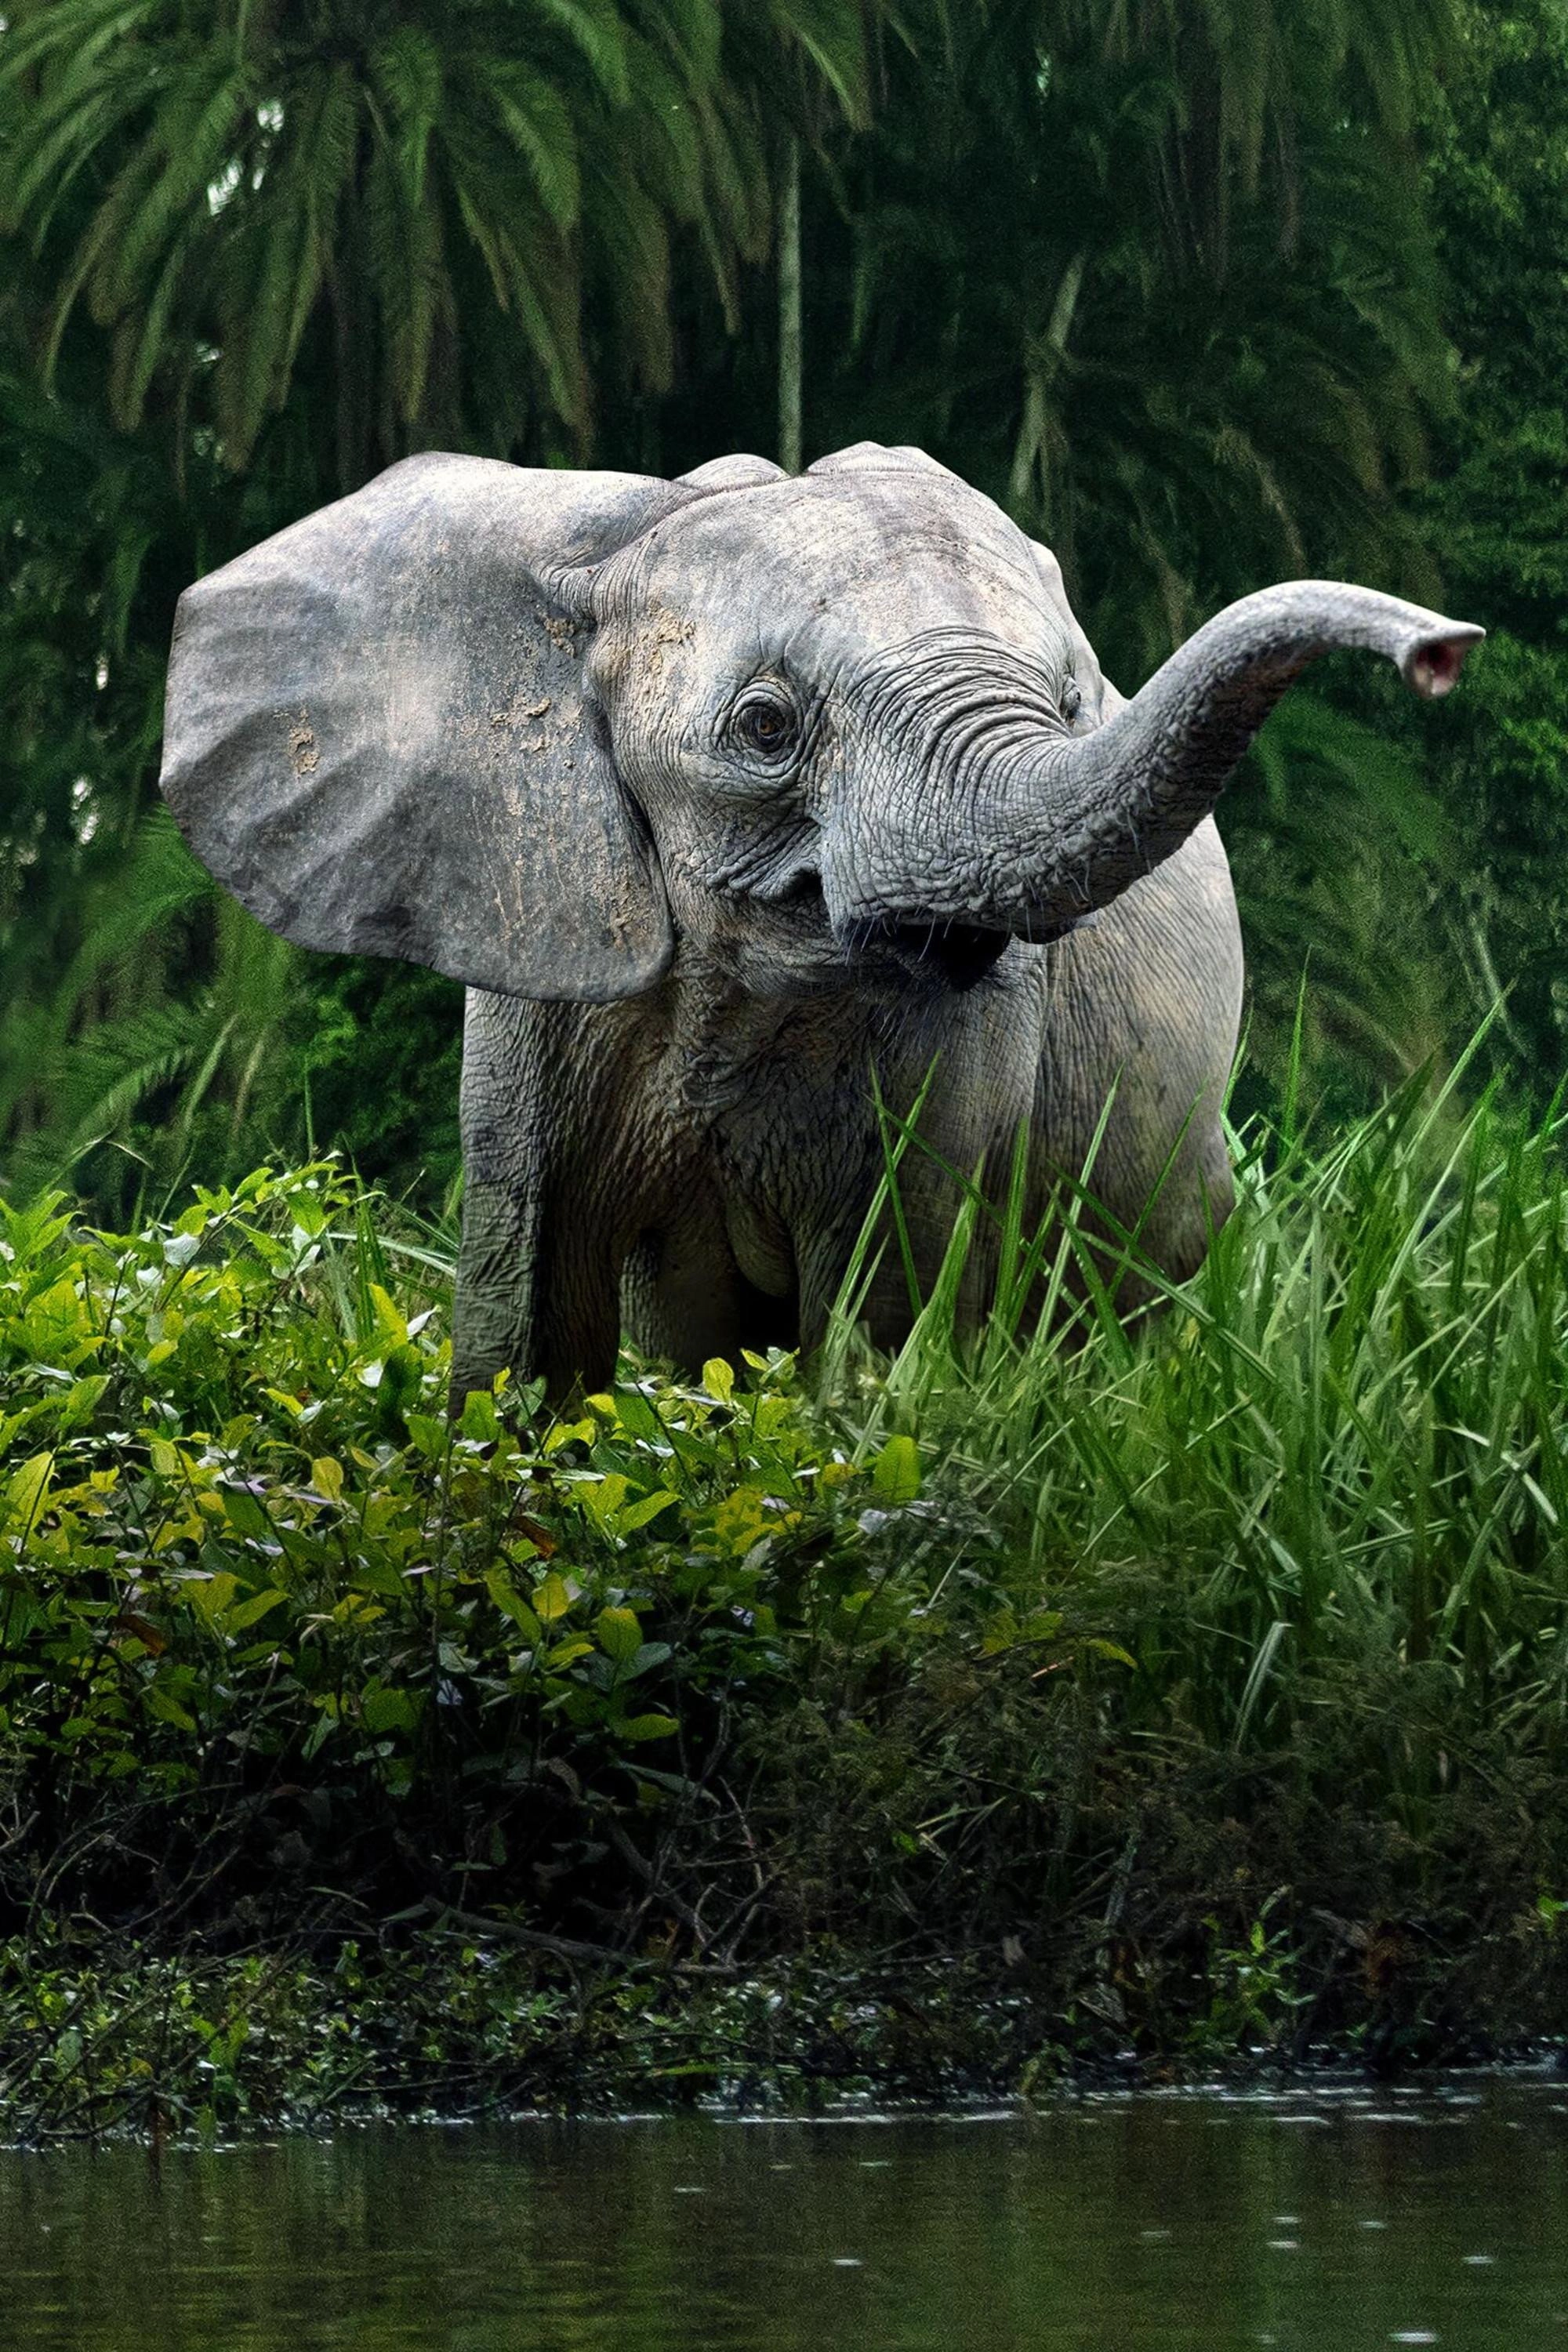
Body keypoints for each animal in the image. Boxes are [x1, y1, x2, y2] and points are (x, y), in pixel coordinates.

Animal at [158, 442, 1481, 1403]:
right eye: (764, 726)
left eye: (1071, 704)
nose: (1444, 651)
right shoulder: (541, 949)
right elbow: (529, 1316)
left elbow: (876, 1313)